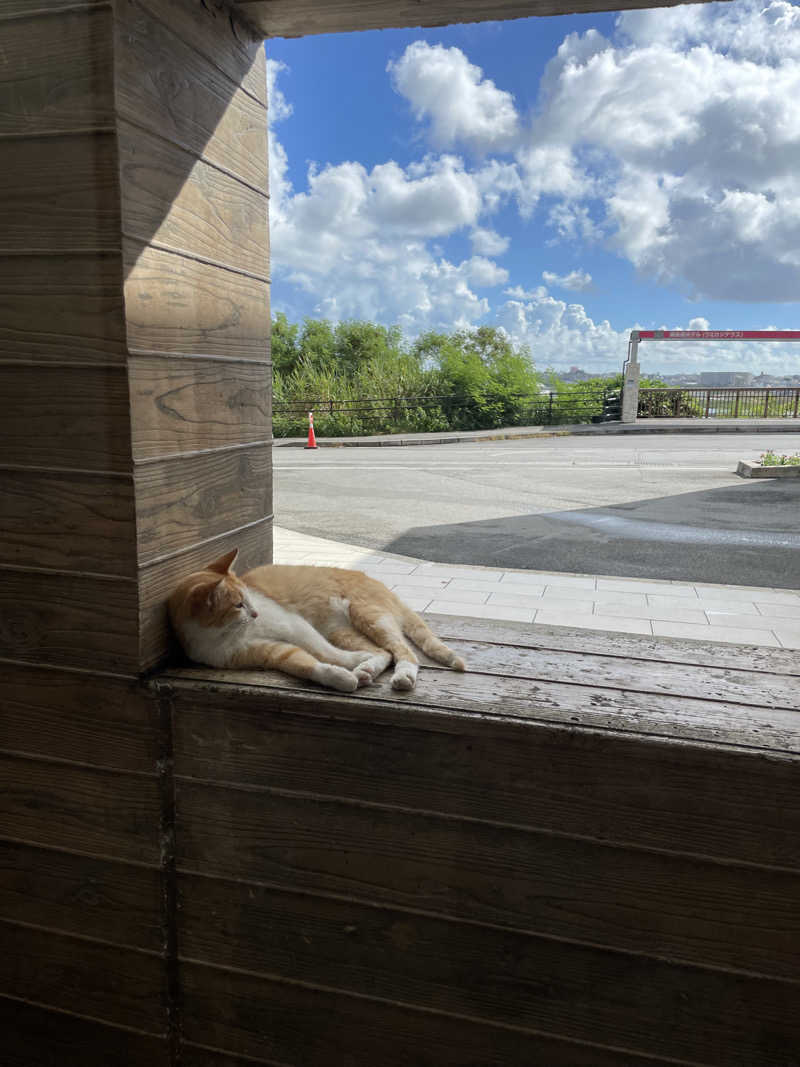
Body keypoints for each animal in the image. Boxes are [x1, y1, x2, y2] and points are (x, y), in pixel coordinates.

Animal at [170, 546, 469, 695]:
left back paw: (402, 675)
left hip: (368, 616)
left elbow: (323, 651)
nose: (255, 614)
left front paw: (349, 664)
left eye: (248, 597)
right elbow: (306, 664)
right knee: (383, 652)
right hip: (341, 630)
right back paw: (367, 669)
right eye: (238, 605)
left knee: (403, 652)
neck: (224, 634)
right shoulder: (270, 652)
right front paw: (340, 677)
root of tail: (380, 585)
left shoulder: (294, 625)